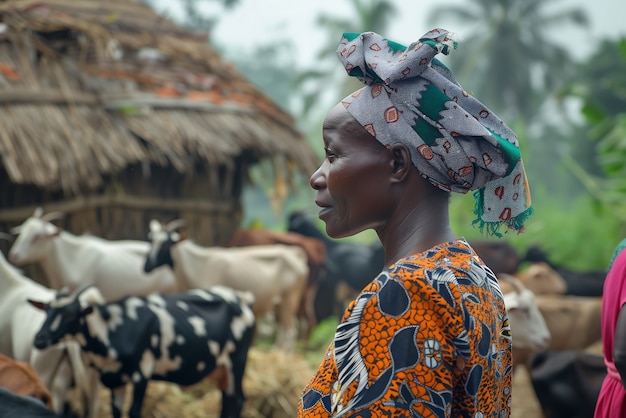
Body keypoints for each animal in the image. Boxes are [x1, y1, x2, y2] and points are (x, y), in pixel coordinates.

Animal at [28, 282, 255, 416]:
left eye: (70, 314)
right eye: (47, 310)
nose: (39, 339)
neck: (117, 327)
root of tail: (243, 298)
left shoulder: (142, 372)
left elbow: (134, 412)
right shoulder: (115, 380)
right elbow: (117, 412)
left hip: (237, 361)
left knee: (237, 400)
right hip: (222, 370)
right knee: (227, 401)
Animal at [141, 219, 308, 352]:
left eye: (166, 245)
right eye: (151, 241)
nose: (147, 266)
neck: (198, 266)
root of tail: (296, 255)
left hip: (289, 300)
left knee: (290, 333)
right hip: (279, 305)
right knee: (283, 332)